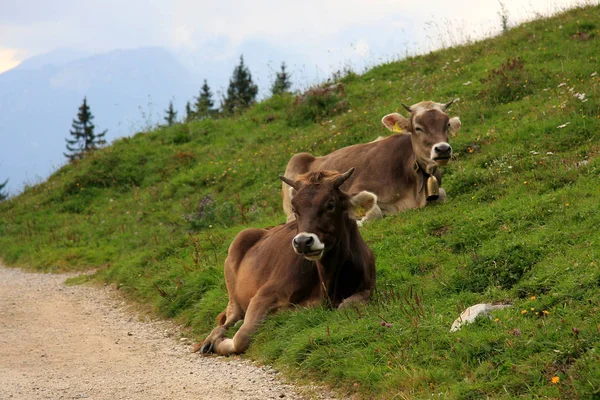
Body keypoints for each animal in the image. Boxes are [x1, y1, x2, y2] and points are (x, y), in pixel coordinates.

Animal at [200, 169, 376, 356]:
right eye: (294, 208)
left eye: (330, 204)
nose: (303, 241)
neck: (328, 282)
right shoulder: (264, 295)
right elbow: (242, 338)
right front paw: (221, 342)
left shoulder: (368, 288)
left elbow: (345, 306)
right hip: (234, 289)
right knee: (227, 321)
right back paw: (211, 340)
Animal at [282, 99, 460, 225]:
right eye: (418, 127)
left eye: (447, 124)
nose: (443, 149)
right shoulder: (356, 188)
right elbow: (375, 212)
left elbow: (442, 194)